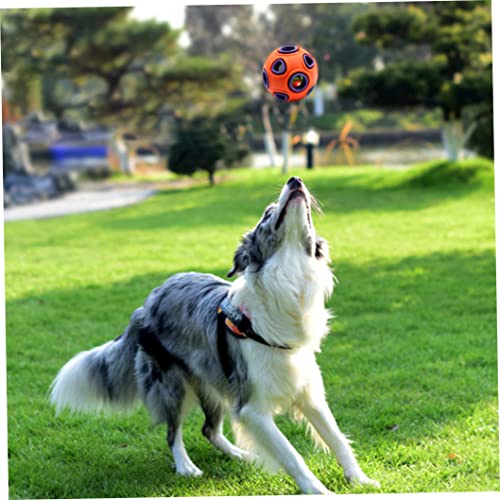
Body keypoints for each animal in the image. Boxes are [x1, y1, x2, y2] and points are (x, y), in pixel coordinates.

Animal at [50, 176, 378, 492]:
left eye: (308, 216)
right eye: (267, 214)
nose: (295, 180)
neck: (289, 275)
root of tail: (146, 303)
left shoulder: (307, 391)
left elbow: (336, 437)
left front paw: (360, 480)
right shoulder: (251, 407)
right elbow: (291, 454)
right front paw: (319, 490)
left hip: (213, 383)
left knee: (209, 429)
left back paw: (242, 455)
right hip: (172, 385)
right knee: (173, 432)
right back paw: (185, 466)